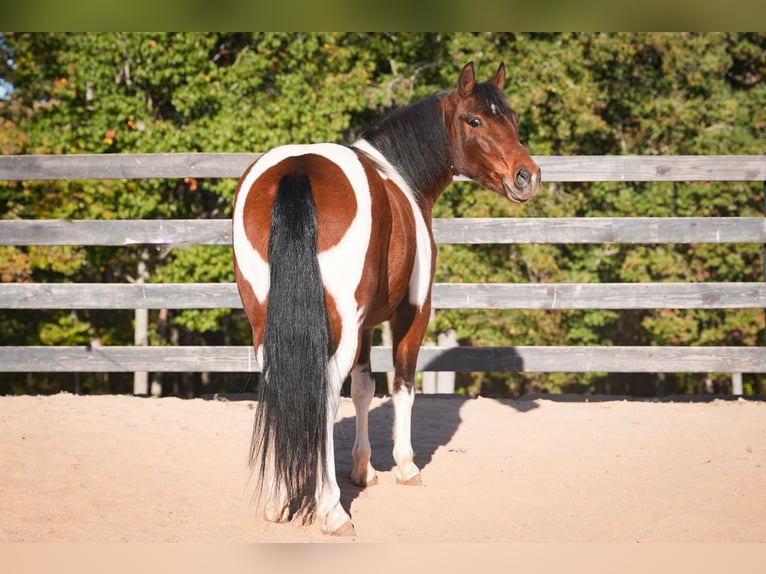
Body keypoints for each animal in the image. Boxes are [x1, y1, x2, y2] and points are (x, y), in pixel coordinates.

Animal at [232, 61, 541, 536]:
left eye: (513, 118)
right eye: (475, 120)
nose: (528, 176)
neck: (401, 179)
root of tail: (299, 169)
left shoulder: (364, 325)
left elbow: (363, 388)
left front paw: (363, 469)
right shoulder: (411, 313)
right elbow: (402, 385)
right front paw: (404, 466)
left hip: (266, 321)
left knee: (280, 387)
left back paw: (278, 500)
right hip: (341, 324)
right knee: (326, 390)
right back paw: (333, 511)